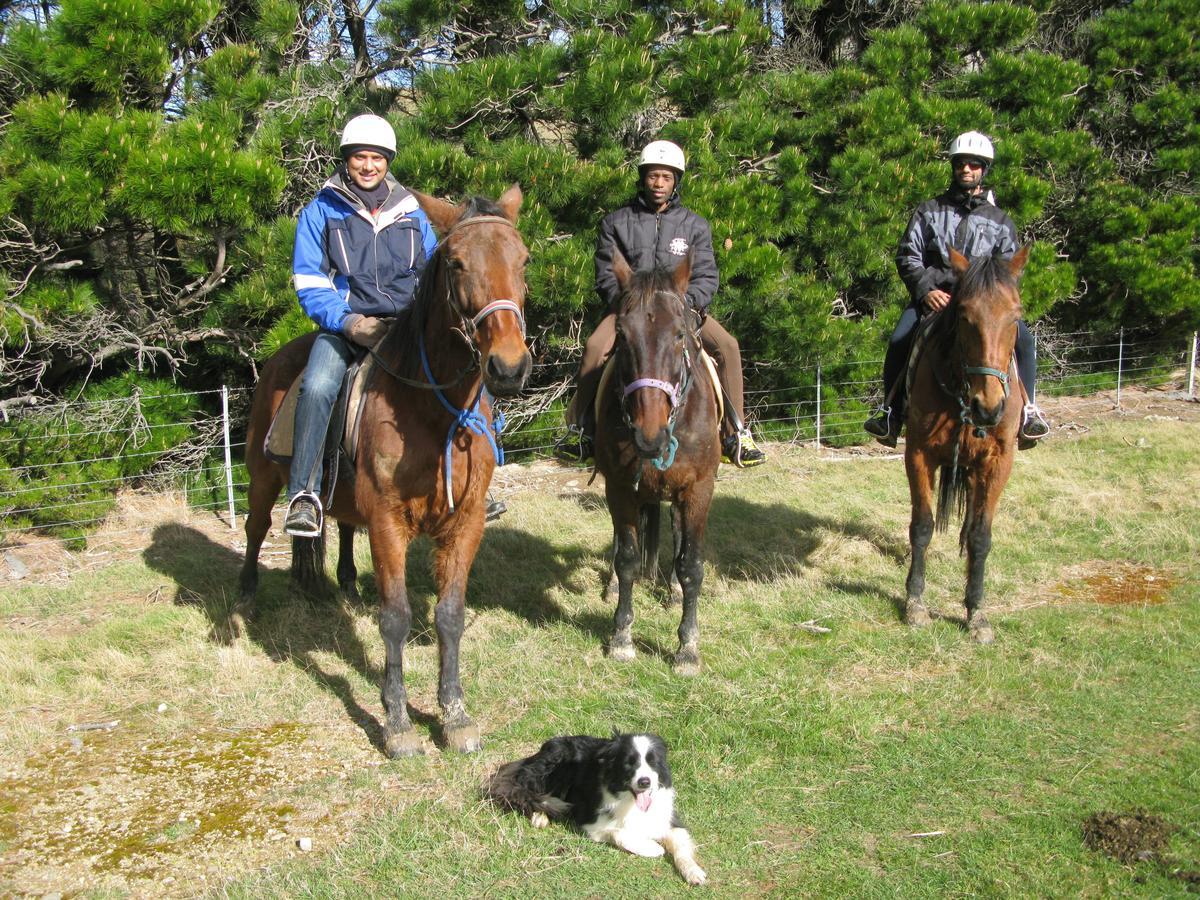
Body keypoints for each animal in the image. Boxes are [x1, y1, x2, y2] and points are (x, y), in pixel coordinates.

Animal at [238, 187, 530, 758]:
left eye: (524, 260)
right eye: (457, 263)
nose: (508, 367)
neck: (432, 412)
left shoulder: (465, 523)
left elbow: (449, 615)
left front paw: (454, 715)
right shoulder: (389, 523)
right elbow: (395, 619)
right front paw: (397, 723)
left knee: (343, 528)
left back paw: (347, 587)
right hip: (263, 479)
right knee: (256, 528)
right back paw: (244, 602)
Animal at [592, 250, 715, 672]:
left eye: (679, 334)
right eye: (622, 335)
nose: (650, 435)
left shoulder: (698, 490)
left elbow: (691, 565)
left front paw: (688, 648)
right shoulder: (619, 488)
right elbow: (627, 559)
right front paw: (621, 637)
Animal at [902, 243, 1027, 643]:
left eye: (1015, 316)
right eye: (965, 316)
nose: (988, 406)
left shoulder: (999, 461)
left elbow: (981, 536)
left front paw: (976, 611)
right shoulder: (918, 454)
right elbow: (922, 527)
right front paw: (915, 603)